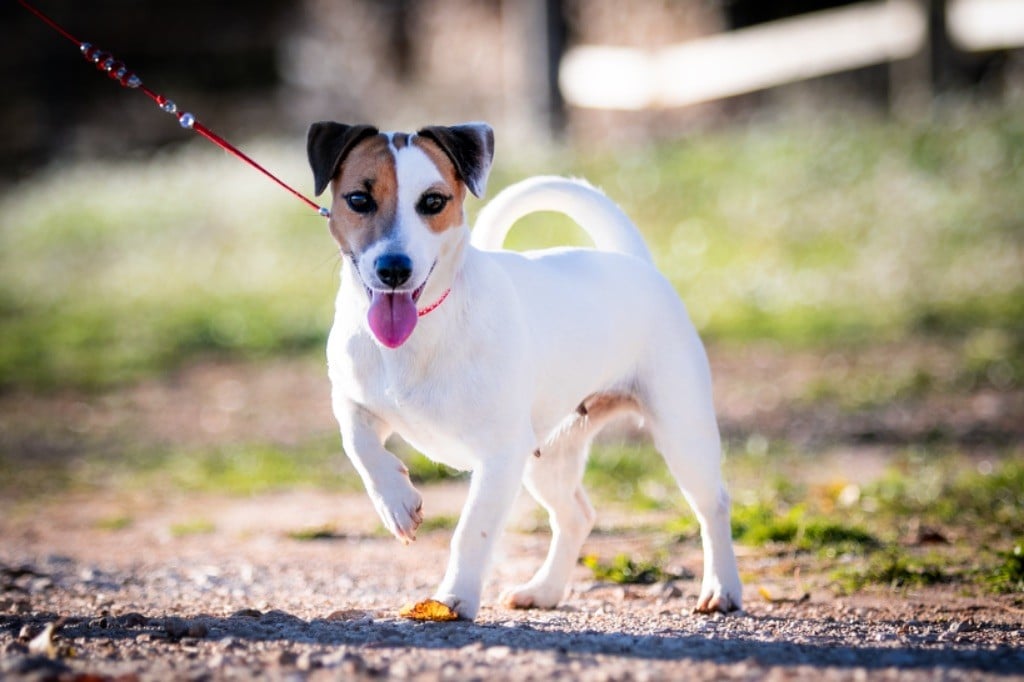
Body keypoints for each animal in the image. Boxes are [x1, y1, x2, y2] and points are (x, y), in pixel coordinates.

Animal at [305, 120, 745, 614]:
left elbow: (471, 531)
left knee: (713, 505)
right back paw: (545, 590)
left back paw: (722, 588)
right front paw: (396, 502)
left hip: (682, 431)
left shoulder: (501, 455)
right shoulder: (354, 402)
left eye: (433, 202)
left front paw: (454, 598)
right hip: (548, 455)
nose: (394, 269)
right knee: (577, 516)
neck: (422, 330)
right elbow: (360, 445)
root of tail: (630, 260)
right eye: (359, 199)